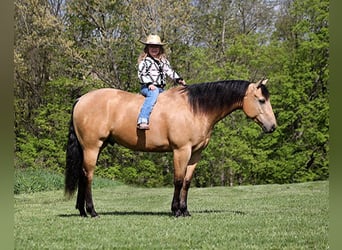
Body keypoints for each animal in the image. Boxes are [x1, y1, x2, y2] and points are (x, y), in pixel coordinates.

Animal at [65, 78, 278, 217]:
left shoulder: (196, 153)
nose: (273, 126)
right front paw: (175, 210)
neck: (195, 109)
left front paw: (185, 211)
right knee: (89, 176)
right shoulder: (181, 150)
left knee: (83, 175)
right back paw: (92, 211)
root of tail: (80, 99)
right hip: (92, 147)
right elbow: (177, 180)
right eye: (261, 100)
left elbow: (187, 182)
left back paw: (82, 211)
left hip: (93, 148)